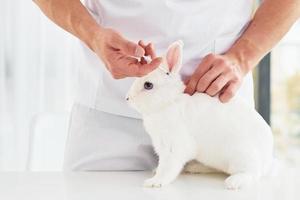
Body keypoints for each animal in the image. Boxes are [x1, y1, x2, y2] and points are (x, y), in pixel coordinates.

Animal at [125, 40, 274, 189]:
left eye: (148, 85)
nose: (127, 98)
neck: (169, 102)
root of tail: (268, 162)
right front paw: (155, 173)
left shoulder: (173, 147)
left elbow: (168, 168)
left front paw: (154, 182)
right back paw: (194, 168)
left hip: (243, 156)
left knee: (252, 173)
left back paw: (233, 182)